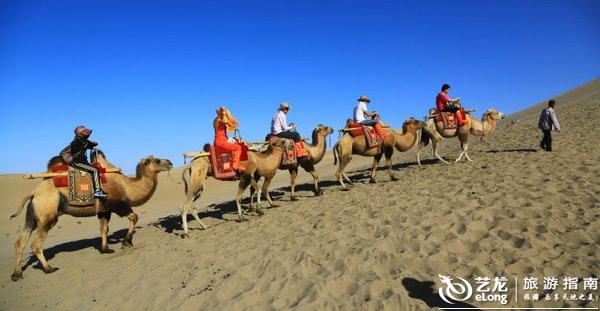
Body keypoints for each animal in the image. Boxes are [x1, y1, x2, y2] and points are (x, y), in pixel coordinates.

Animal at [10, 152, 172, 282]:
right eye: (157, 160)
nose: (170, 162)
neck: (127, 186)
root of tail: (34, 193)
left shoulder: (104, 210)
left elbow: (104, 229)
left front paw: (106, 248)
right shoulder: (117, 205)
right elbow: (134, 217)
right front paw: (126, 241)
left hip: (32, 216)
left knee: (20, 242)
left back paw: (17, 274)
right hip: (47, 215)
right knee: (35, 244)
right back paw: (49, 268)